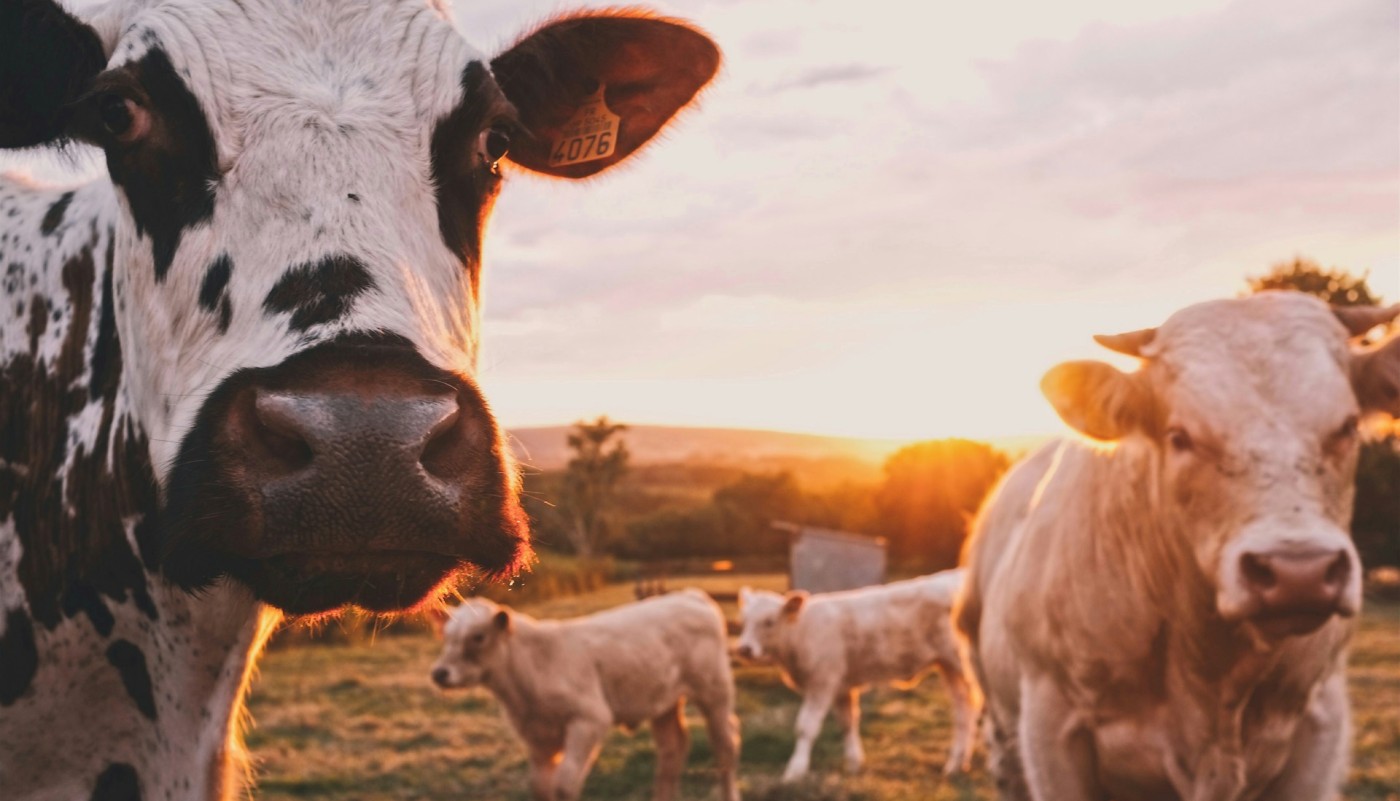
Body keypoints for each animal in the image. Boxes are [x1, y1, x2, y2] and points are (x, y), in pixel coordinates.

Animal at [430, 590, 742, 801]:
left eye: (478, 636)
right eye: (446, 635)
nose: (440, 673)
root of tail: (690, 595)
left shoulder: (589, 719)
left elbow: (564, 785)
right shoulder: (536, 736)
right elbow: (541, 787)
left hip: (715, 691)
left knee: (726, 746)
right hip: (663, 701)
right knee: (672, 751)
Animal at [735, 571, 980, 781]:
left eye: (769, 622)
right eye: (744, 621)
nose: (744, 649)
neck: (801, 633)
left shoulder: (822, 682)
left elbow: (806, 727)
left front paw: (795, 771)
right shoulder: (842, 686)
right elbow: (848, 723)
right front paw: (854, 763)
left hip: (964, 663)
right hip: (949, 667)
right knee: (964, 710)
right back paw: (957, 764)